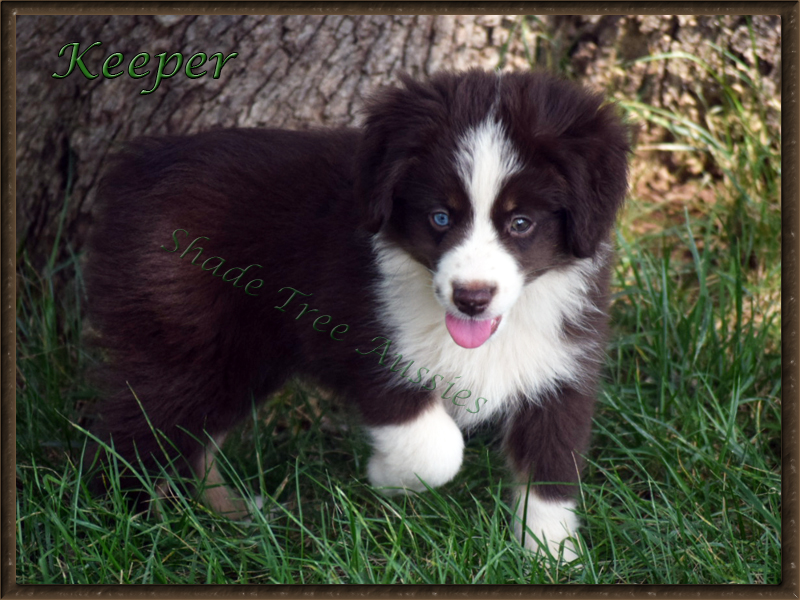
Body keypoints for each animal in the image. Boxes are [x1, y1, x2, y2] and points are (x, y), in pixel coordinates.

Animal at [84, 68, 628, 560]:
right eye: (440, 217)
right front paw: (388, 479)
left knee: (194, 441)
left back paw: (227, 517)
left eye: (521, 223)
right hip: (191, 336)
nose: (471, 298)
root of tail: (139, 164)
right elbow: (437, 448)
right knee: (144, 430)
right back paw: (136, 528)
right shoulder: (365, 340)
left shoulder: (560, 363)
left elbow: (553, 468)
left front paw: (551, 555)